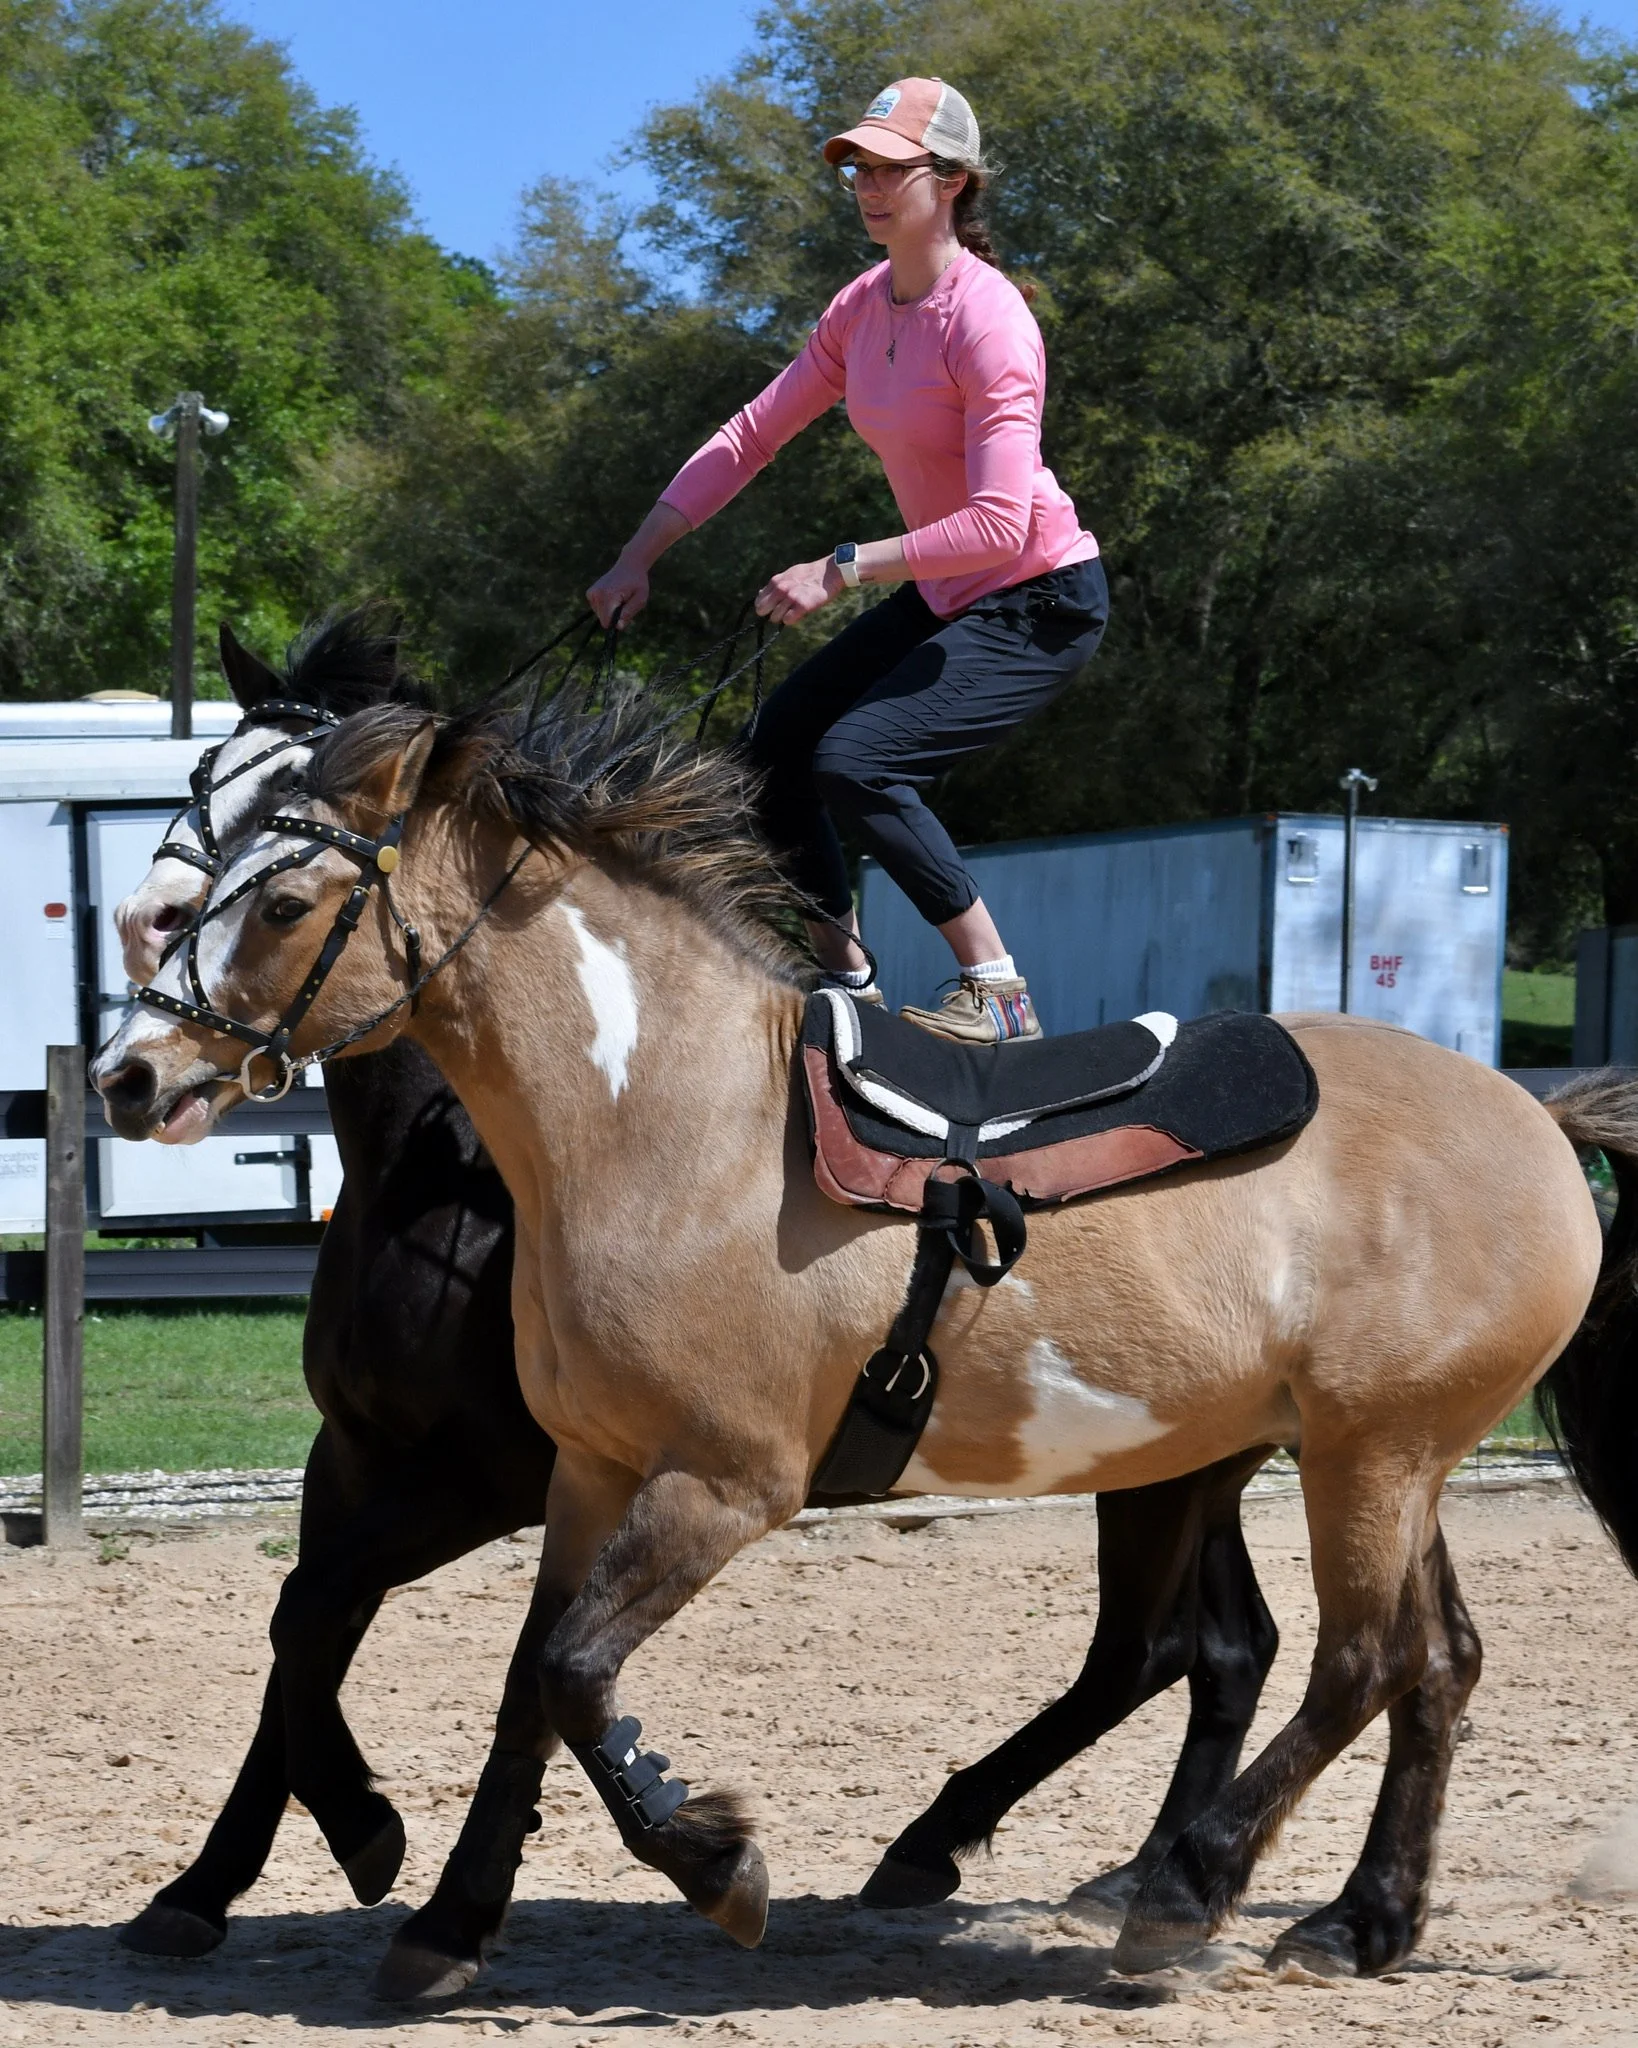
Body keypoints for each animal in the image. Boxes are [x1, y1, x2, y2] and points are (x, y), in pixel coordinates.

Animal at [90, 676, 1618, 1981]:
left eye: (285, 897)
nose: (128, 1070)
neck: (668, 1117)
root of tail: (1533, 1114)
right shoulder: (580, 1471)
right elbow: (522, 1681)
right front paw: (446, 1922)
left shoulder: (717, 1483)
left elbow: (570, 1674)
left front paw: (712, 1862)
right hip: (1354, 1457)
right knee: (1419, 1660)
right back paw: (1354, 1920)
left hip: (1368, 1453)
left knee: (1352, 1660)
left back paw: (1184, 1888)